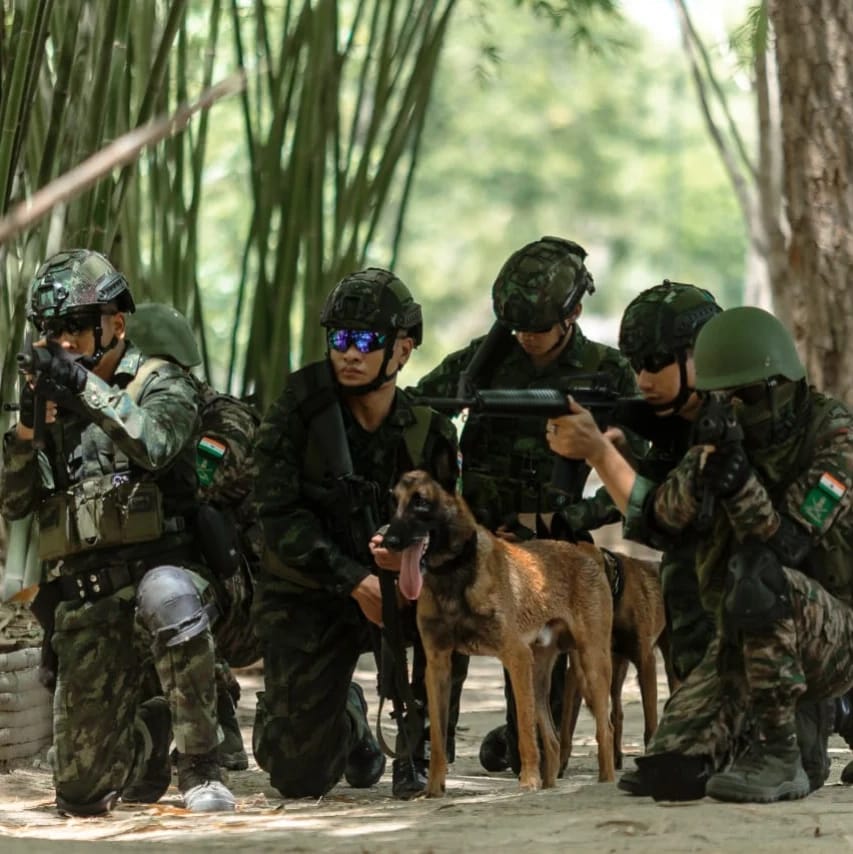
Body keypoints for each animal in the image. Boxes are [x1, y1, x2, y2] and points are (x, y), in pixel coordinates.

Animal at [382, 472, 616, 800]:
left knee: (604, 730)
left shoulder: (515, 656)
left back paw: (604, 782)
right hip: (538, 677)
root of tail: (581, 551)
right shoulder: (438, 666)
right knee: (553, 740)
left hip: (590, 665)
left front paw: (528, 781)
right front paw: (433, 788)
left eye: (420, 502)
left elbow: (525, 733)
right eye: (394, 502)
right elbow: (438, 737)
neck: (453, 575)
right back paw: (549, 784)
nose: (387, 542)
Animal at [560, 548, 672, 776]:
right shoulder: (577, 671)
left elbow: (650, 720)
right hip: (616, 667)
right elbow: (567, 722)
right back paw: (616, 755)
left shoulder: (645, 661)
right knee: (616, 711)